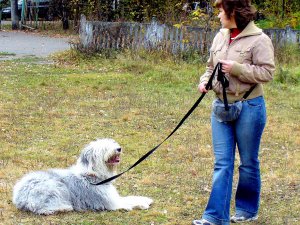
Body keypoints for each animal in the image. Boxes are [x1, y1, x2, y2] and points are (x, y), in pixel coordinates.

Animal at [12, 139, 152, 214]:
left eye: (112, 143)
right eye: (104, 148)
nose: (118, 148)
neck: (93, 175)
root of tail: (20, 198)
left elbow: (131, 197)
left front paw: (146, 199)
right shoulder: (110, 202)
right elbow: (127, 201)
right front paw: (142, 204)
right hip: (56, 187)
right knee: (43, 208)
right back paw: (64, 207)